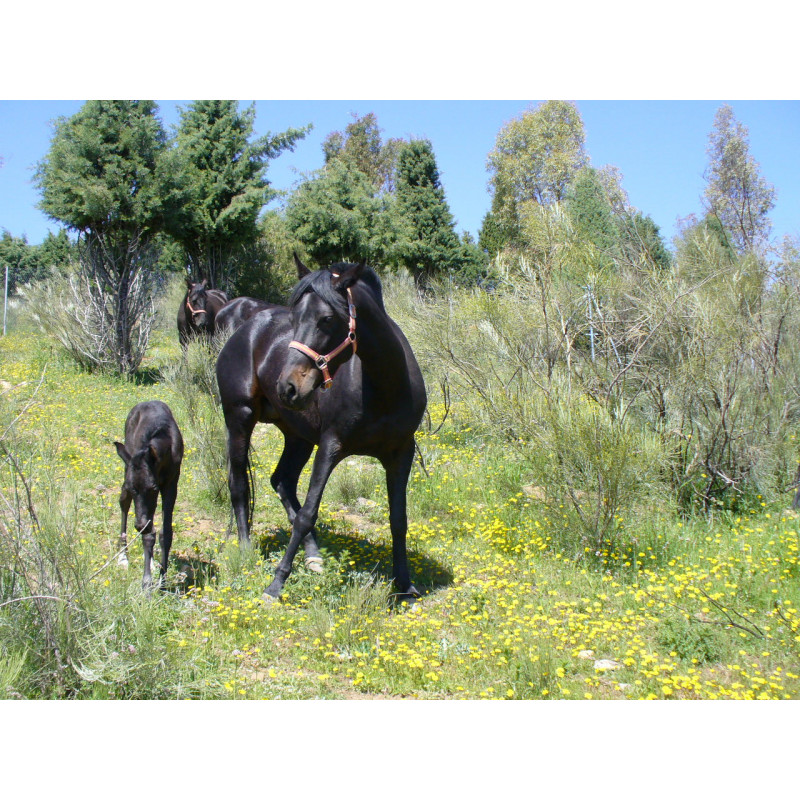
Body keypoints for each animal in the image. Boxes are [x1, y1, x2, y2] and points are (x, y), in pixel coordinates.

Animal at [114, 401, 184, 591]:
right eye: (133, 489)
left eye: (152, 488)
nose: (138, 525)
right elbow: (148, 532)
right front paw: (147, 582)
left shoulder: (170, 484)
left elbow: (164, 533)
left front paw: (162, 580)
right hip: (126, 466)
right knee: (124, 503)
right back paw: (123, 557)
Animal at [216, 256, 427, 602]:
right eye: (294, 317)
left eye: (327, 319)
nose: (287, 387)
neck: (383, 386)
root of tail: (243, 329)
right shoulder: (330, 447)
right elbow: (307, 514)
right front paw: (275, 585)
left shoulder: (401, 452)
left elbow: (398, 519)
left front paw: (405, 585)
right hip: (239, 419)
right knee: (239, 484)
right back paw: (246, 548)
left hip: (297, 436)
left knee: (282, 481)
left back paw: (313, 556)